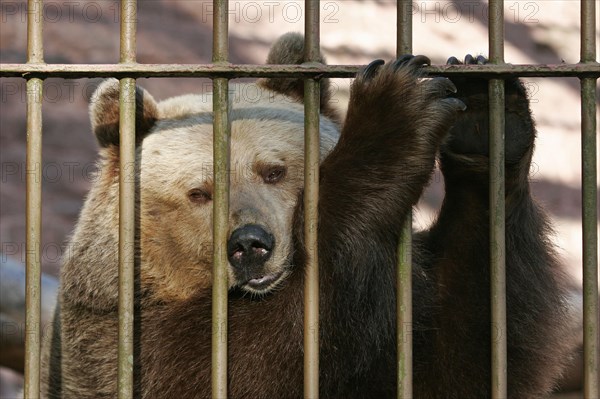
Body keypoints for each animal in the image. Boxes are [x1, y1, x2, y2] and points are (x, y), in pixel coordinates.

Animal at [41, 33, 576, 396]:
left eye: (274, 171)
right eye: (199, 192)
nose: (250, 245)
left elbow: (463, 357)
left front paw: (485, 114)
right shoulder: (123, 340)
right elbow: (266, 357)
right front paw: (391, 108)